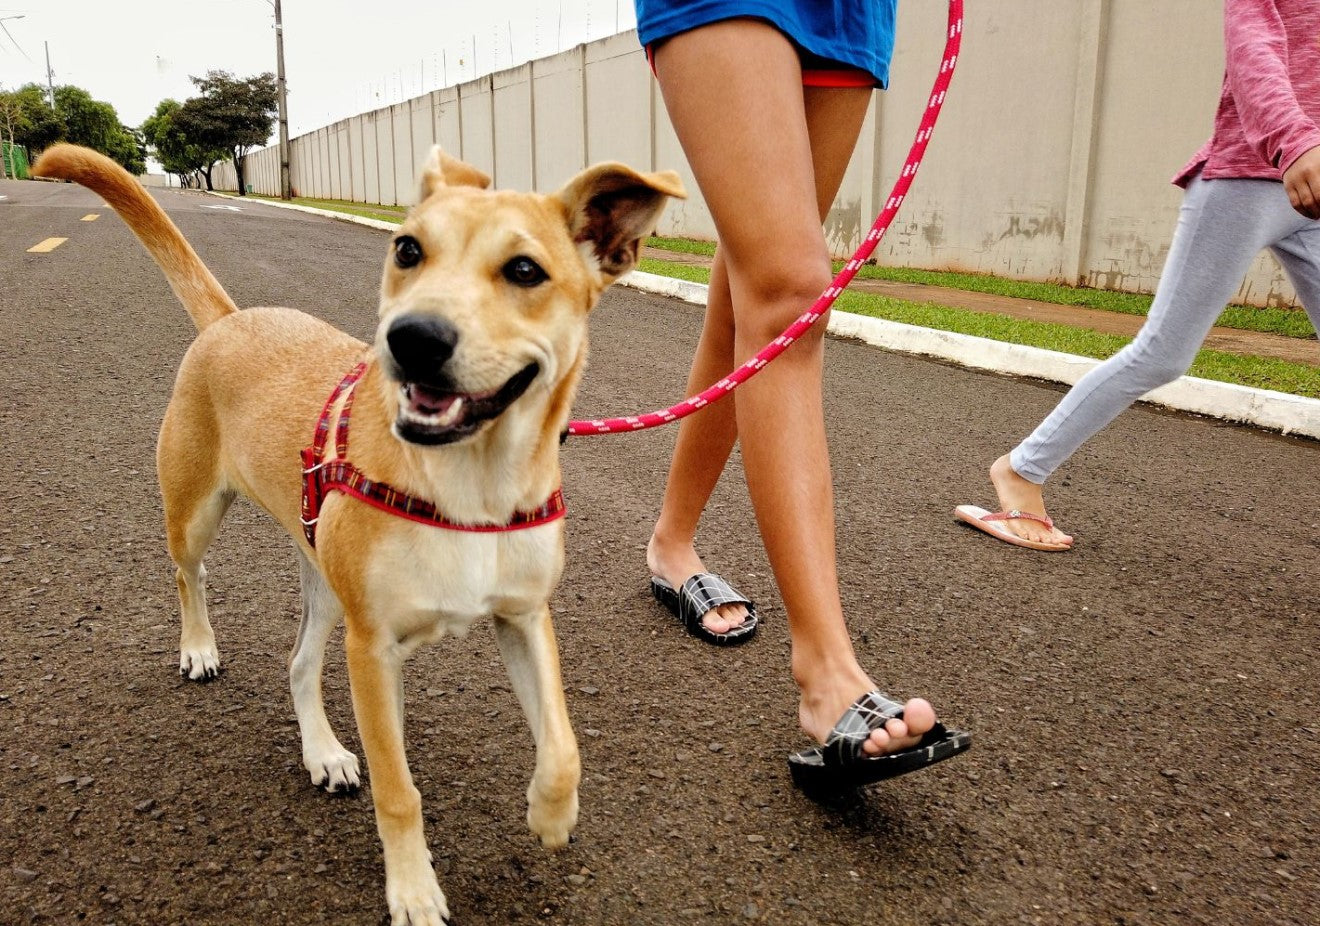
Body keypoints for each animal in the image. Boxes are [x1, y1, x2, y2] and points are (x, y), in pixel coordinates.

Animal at [36, 145, 686, 926]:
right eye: (407, 249)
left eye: (526, 270)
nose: (412, 338)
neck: (472, 485)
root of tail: (230, 319)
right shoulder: (373, 649)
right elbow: (398, 789)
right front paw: (412, 889)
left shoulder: (524, 617)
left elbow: (562, 743)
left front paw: (551, 814)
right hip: (196, 511)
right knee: (188, 574)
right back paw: (198, 647)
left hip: (323, 578)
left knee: (297, 663)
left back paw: (322, 751)